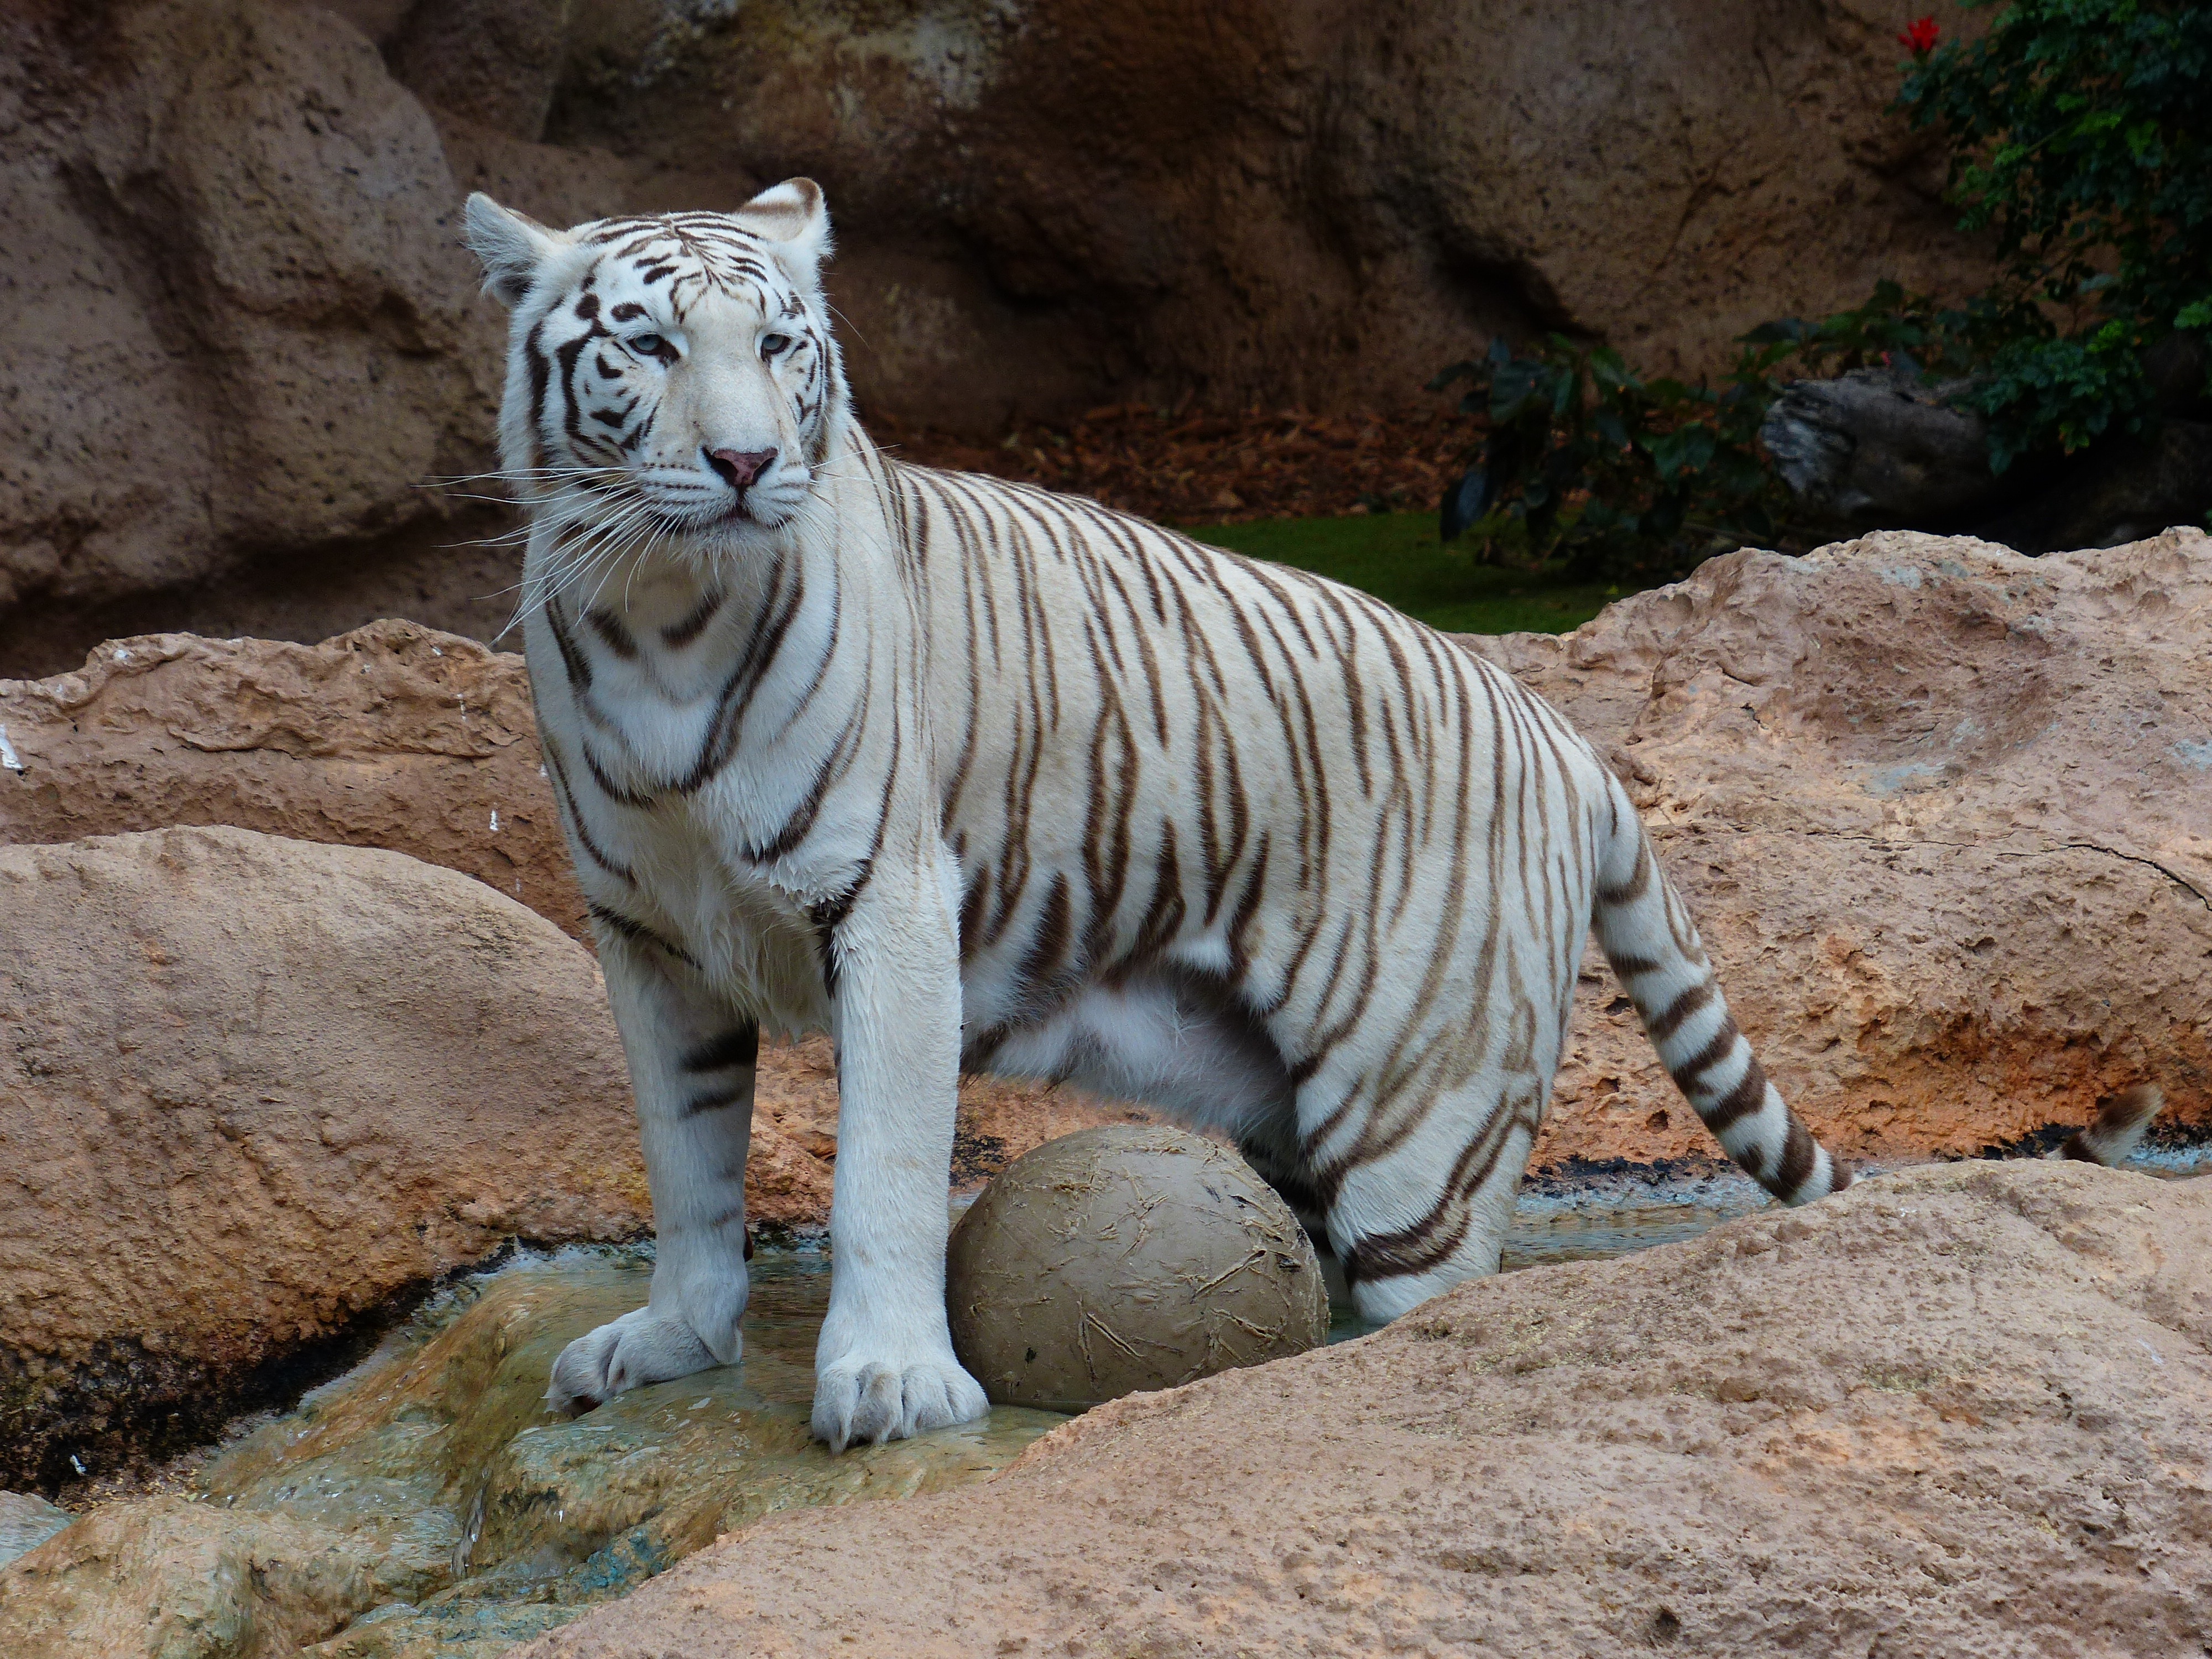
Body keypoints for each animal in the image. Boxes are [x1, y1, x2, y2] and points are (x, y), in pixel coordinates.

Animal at [462, 179, 1867, 1451]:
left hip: (1420, 1125)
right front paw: (674, 1339)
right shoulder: (649, 937)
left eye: (776, 344)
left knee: (1432, 1307)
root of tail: (1557, 729)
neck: (661, 613)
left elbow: (886, 1171)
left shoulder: (891, 901)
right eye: (648, 346)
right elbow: (685, 1163)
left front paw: (890, 1381)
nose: (747, 463)